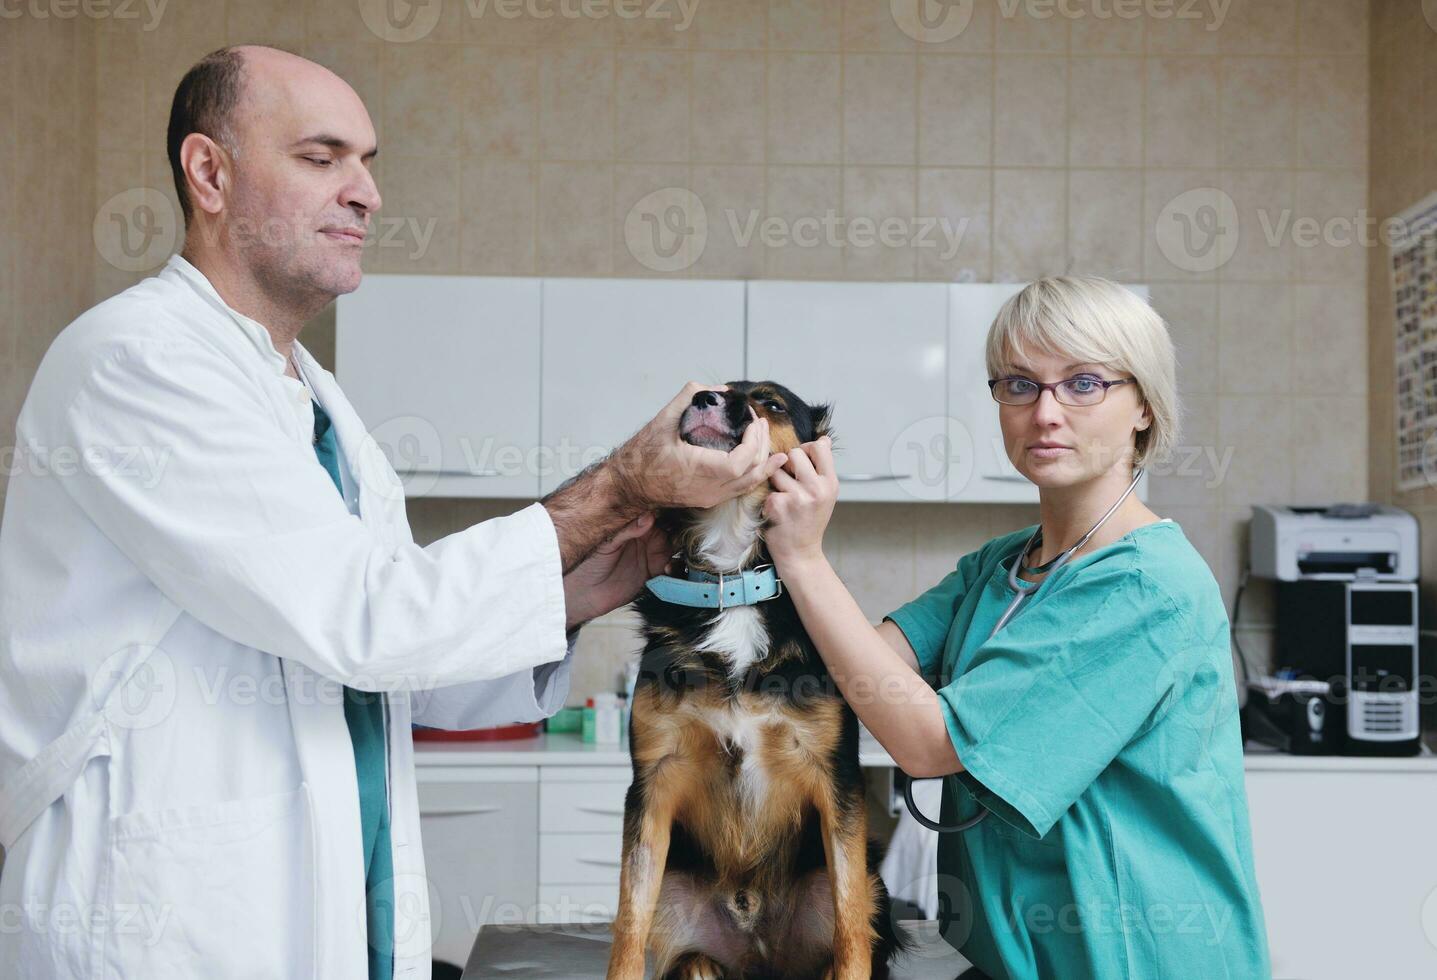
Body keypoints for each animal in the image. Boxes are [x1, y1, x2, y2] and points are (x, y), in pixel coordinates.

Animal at [606, 382, 908, 977]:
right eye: (717, 386)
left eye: (770, 403)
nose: (703, 398)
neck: (733, 582)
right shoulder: (652, 782)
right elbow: (628, 924)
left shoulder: (838, 781)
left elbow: (850, 926)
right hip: (679, 904)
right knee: (688, 956)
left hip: (870, 882)